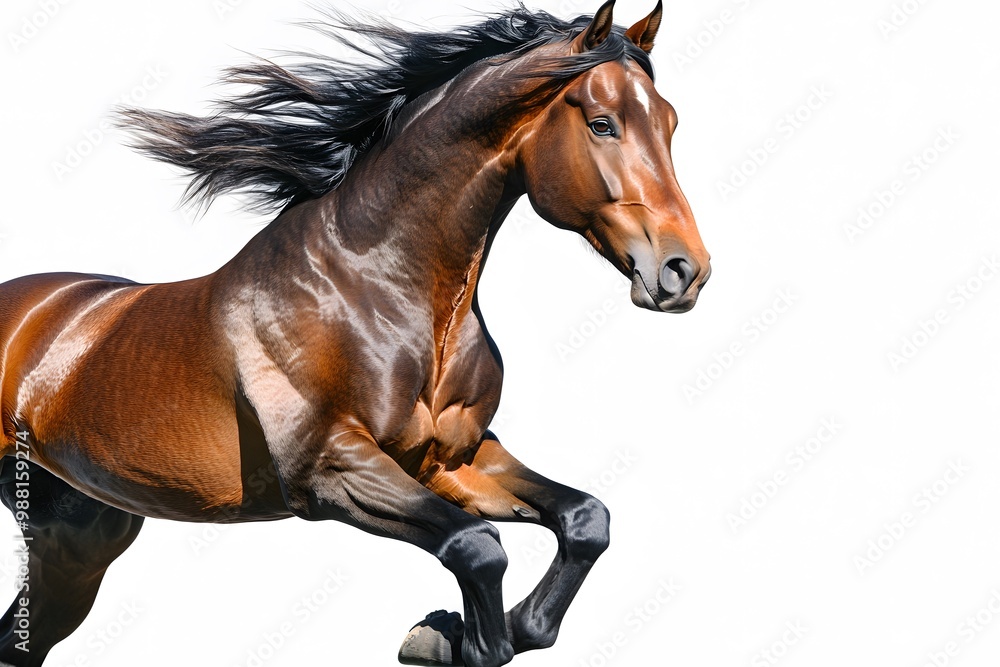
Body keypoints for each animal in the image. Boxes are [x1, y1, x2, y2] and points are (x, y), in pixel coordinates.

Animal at [0, 2, 709, 665]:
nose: (684, 271)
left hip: (80, 539)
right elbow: (477, 547)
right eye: (602, 123)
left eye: (670, 123)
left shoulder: (456, 460)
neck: (373, 286)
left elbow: (585, 519)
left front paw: (466, 632)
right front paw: (455, 639)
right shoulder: (331, 469)